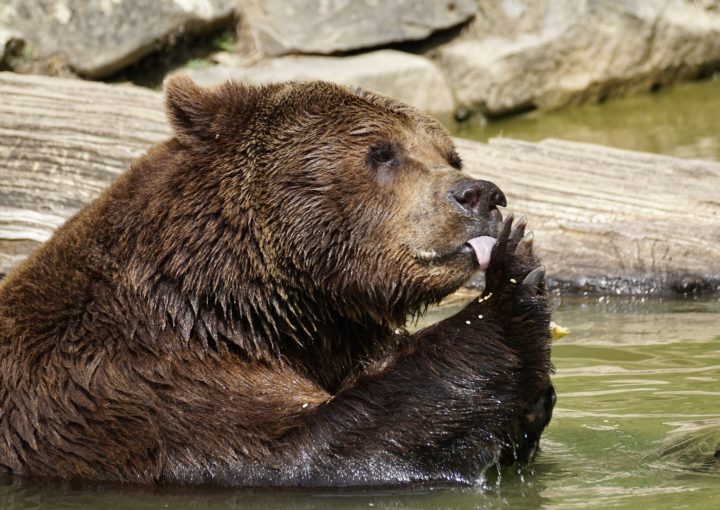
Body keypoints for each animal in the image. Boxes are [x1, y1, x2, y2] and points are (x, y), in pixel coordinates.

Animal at [0, 75, 556, 486]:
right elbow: (306, 449)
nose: (480, 195)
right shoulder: (129, 391)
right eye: (382, 152)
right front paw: (514, 282)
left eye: (450, 155)